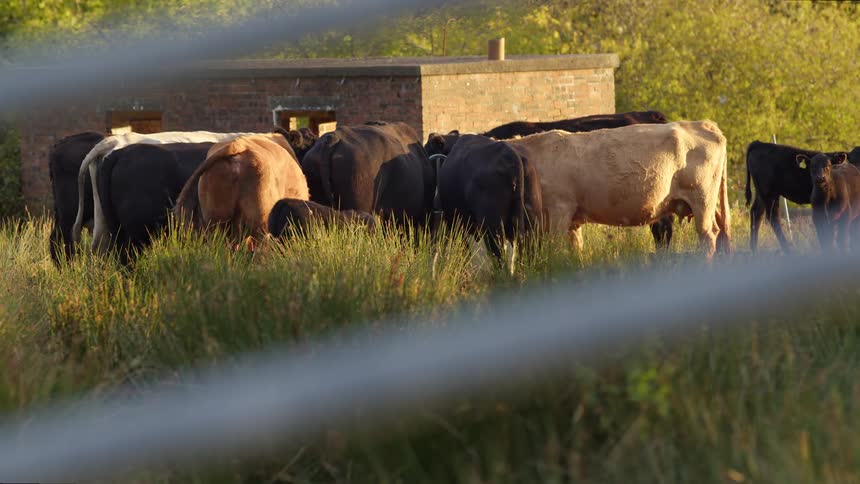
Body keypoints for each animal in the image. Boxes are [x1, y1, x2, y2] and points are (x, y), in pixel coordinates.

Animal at [506, 121, 730, 260]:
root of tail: (702, 124)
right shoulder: (573, 221)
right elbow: (576, 250)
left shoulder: (560, 209)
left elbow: (557, 249)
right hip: (708, 202)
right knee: (720, 230)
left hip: (702, 200)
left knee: (708, 235)